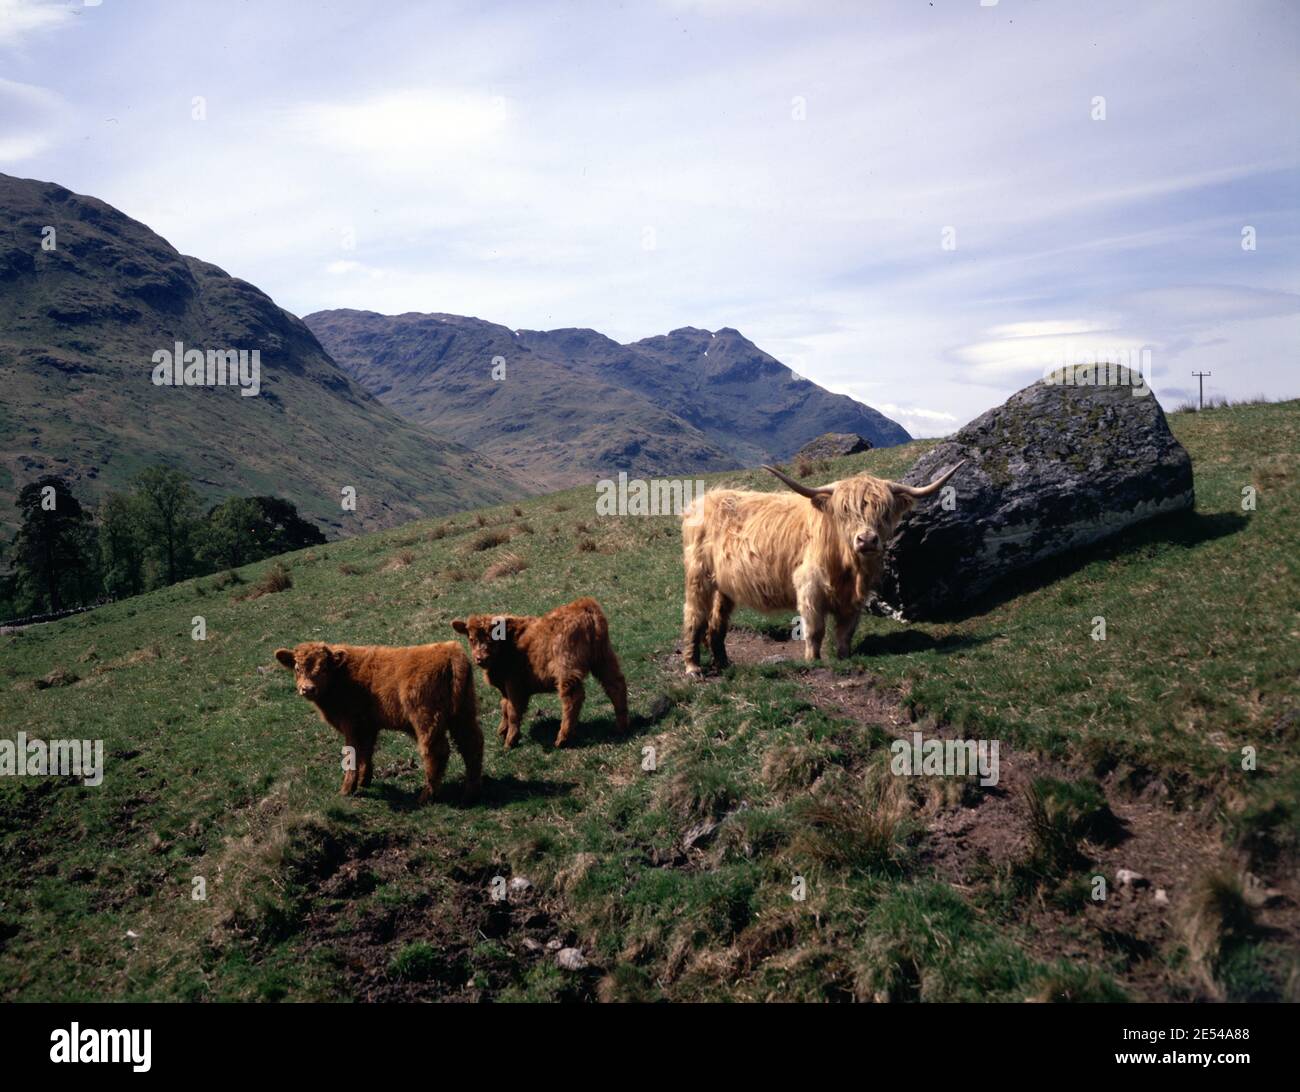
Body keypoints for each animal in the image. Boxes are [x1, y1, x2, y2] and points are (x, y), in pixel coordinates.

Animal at [274, 639, 483, 800]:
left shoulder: (352, 725)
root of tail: (450, 649)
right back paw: (470, 792)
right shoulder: (368, 726)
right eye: (297, 668)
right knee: (472, 745)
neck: (342, 676)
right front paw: (364, 781)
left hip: (426, 719)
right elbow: (366, 752)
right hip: (463, 714)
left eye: (324, 668)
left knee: (436, 751)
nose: (308, 689)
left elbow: (352, 754)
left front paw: (346, 789)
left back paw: (427, 796)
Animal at [452, 598, 629, 748]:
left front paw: (510, 740)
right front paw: (502, 730)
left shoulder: (514, 684)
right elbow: (504, 707)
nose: (480, 658)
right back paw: (621, 726)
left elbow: (512, 711)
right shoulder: (506, 688)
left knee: (572, 698)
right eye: (471, 638)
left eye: (493, 638)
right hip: (603, 658)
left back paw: (562, 738)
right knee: (616, 685)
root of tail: (582, 604)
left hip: (566, 667)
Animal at [686, 457, 961, 670]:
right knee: (695, 616)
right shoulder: (810, 588)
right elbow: (815, 629)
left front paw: (843, 659)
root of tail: (705, 499)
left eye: (884, 511)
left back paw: (723, 663)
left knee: (717, 622)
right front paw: (813, 661)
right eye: (845, 510)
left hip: (724, 585)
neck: (849, 568)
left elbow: (845, 632)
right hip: (697, 576)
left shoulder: (856, 599)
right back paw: (693, 667)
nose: (867, 540)